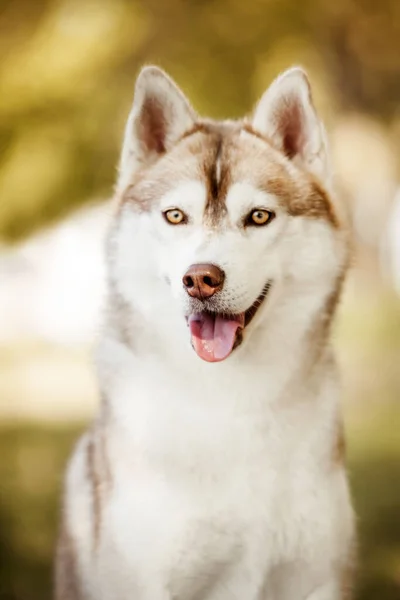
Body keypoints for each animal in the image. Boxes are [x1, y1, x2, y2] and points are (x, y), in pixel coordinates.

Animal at [54, 67, 354, 600]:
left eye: (259, 216)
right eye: (176, 215)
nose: (201, 278)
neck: (230, 399)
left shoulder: (314, 577)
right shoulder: (148, 579)